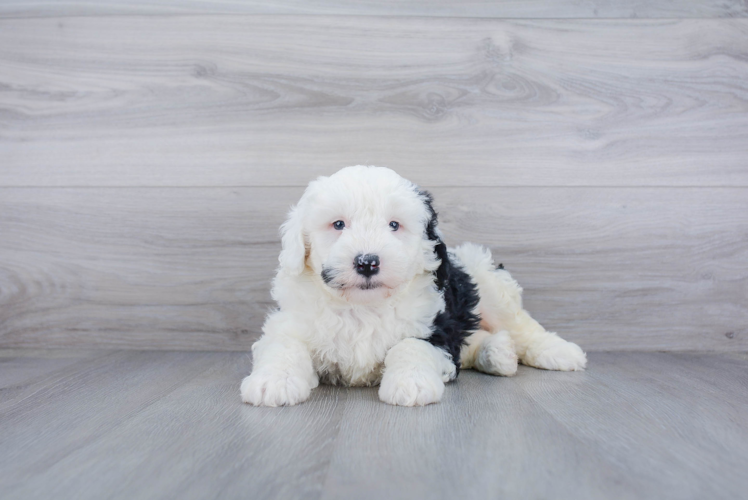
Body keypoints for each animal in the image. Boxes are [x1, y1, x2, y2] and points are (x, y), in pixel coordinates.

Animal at [243, 166, 588, 408]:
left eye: (394, 225)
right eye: (338, 224)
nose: (367, 262)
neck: (362, 306)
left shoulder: (436, 329)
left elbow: (409, 345)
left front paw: (411, 385)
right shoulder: (289, 321)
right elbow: (283, 345)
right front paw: (272, 382)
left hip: (486, 281)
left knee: (521, 326)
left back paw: (558, 352)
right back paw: (497, 354)